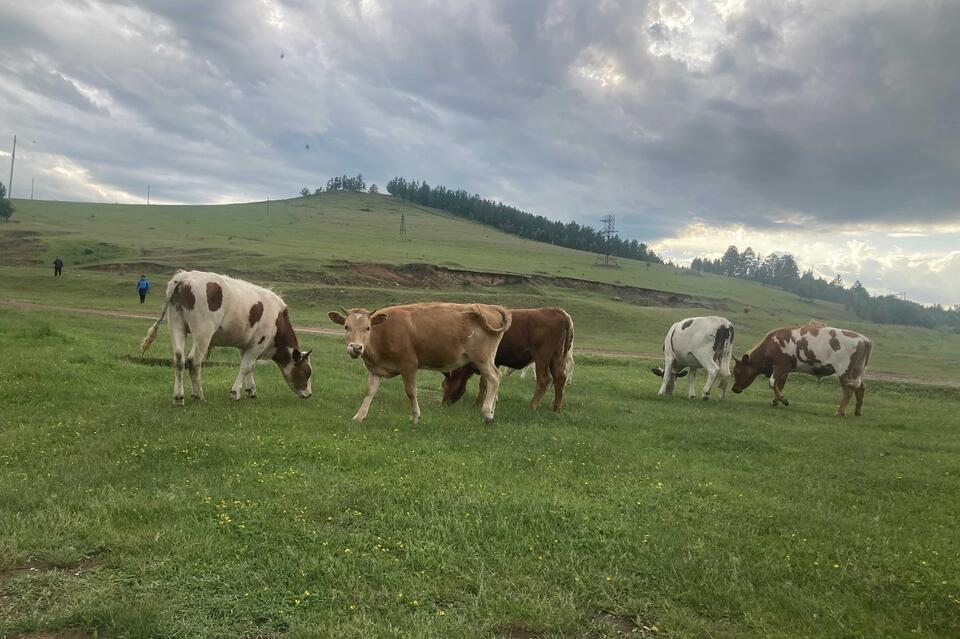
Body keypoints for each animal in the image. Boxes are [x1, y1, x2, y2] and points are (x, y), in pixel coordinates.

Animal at [141, 270, 312, 404]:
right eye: (306, 372)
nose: (309, 394)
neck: (278, 319)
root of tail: (184, 277)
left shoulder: (247, 346)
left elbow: (251, 367)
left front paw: (251, 390)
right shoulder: (258, 344)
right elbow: (245, 367)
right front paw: (235, 392)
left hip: (177, 326)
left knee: (179, 359)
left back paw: (179, 397)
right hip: (203, 333)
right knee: (194, 361)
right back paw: (199, 395)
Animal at [328, 304, 512, 424]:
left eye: (367, 327)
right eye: (346, 327)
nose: (356, 348)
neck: (383, 333)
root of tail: (491, 308)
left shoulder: (408, 366)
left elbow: (411, 392)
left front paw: (415, 416)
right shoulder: (375, 369)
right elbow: (369, 392)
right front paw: (359, 416)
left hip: (482, 358)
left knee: (494, 377)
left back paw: (488, 413)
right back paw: (491, 409)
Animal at [444, 306, 576, 416]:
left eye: (443, 385)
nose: (444, 403)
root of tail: (556, 311)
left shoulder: (489, 362)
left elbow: (484, 383)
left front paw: (478, 403)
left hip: (542, 358)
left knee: (544, 380)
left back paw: (532, 407)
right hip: (556, 358)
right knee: (559, 379)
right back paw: (556, 408)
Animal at [732, 322, 872, 418]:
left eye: (737, 371)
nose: (733, 389)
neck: (771, 343)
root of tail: (863, 339)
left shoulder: (779, 365)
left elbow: (772, 383)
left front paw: (783, 399)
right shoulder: (785, 370)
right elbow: (779, 384)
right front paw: (776, 401)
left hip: (844, 370)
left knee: (848, 390)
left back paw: (840, 412)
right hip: (857, 371)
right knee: (861, 387)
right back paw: (858, 411)